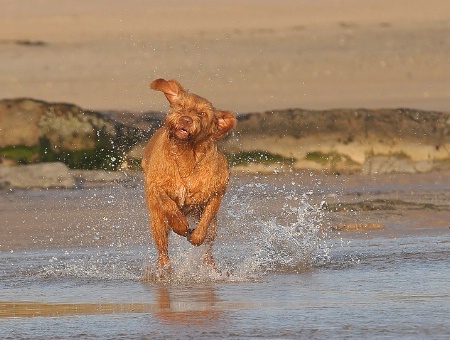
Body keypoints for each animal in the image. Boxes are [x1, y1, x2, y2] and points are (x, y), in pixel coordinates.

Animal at [142, 78, 237, 270]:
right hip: (156, 220)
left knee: (208, 247)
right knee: (163, 250)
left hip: (212, 227)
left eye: (202, 113)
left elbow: (206, 220)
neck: (186, 155)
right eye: (181, 106)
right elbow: (170, 205)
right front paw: (179, 224)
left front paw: (196, 236)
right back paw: (165, 268)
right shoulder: (155, 185)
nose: (186, 119)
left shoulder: (217, 192)